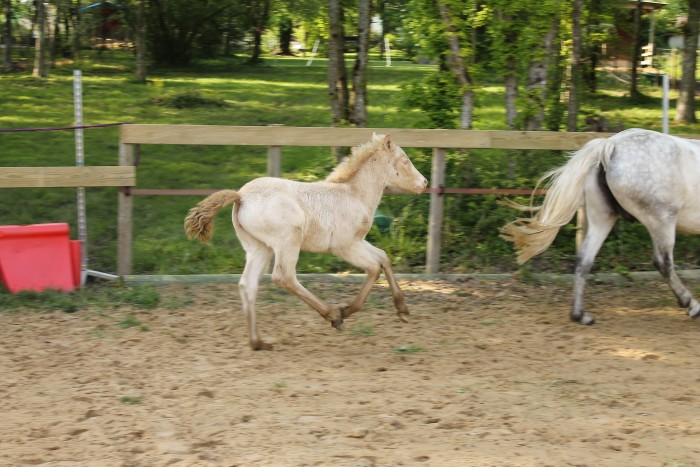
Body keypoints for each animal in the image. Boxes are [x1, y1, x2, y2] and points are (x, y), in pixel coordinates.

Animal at [184, 133, 428, 350]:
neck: (353, 195)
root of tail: (240, 197)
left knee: (248, 284)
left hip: (259, 248)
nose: (424, 182)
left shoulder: (358, 241)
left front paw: (403, 310)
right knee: (284, 277)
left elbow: (384, 258)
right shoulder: (345, 246)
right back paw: (332, 315)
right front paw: (345, 311)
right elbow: (374, 268)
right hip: (287, 241)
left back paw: (258, 343)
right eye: (405, 160)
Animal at [501, 128, 700, 325]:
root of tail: (610, 144)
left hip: (602, 217)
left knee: (584, 258)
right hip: (662, 220)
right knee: (663, 262)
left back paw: (580, 315)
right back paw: (692, 306)